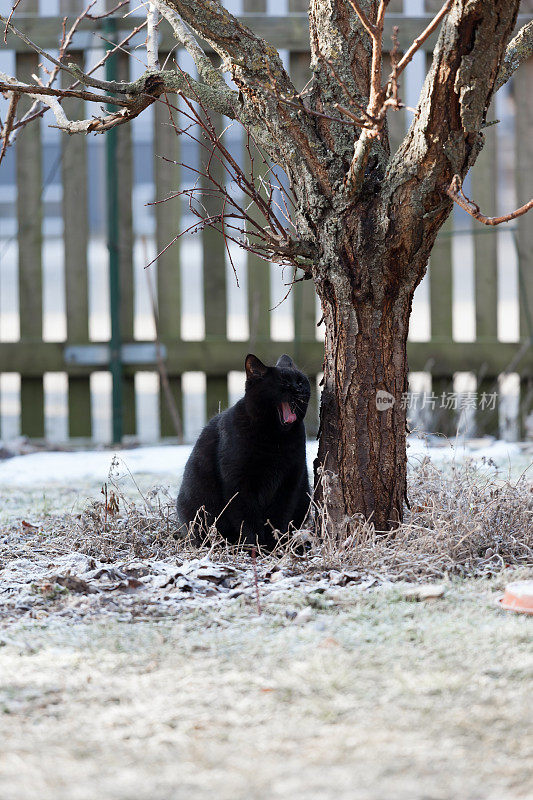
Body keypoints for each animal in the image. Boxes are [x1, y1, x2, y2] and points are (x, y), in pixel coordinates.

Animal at [178, 354, 312, 552]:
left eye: (301, 380)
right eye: (284, 383)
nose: (299, 388)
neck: (275, 439)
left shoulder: (290, 482)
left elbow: (278, 519)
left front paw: (275, 548)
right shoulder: (239, 485)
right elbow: (248, 521)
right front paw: (256, 548)